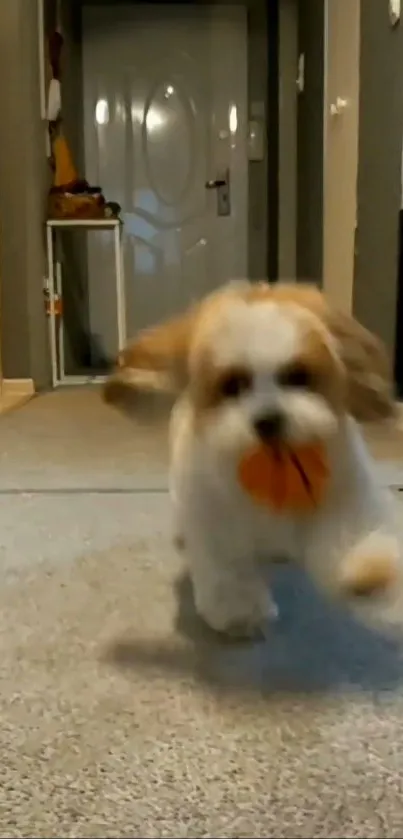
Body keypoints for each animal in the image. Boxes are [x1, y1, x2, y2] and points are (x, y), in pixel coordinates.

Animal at [105, 282, 402, 636]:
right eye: (233, 385)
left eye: (297, 376)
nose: (268, 419)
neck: (276, 468)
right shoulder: (215, 517)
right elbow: (228, 568)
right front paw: (240, 611)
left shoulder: (344, 495)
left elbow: (351, 540)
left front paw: (369, 574)